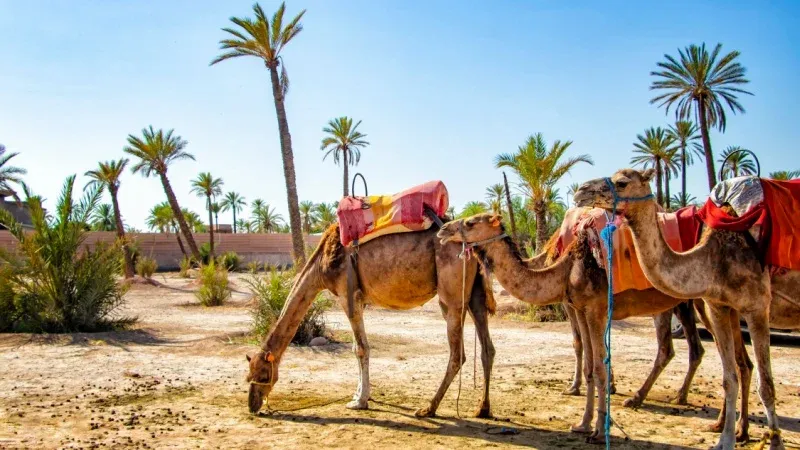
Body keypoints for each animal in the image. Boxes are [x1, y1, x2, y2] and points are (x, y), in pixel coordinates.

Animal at [244, 224, 496, 418]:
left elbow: (360, 348)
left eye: (263, 375)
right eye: (248, 376)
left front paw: (359, 401)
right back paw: (482, 409)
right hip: (474, 292)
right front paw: (360, 394)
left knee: (458, 354)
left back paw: (428, 409)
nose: (252, 405)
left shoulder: (347, 296)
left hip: (451, 296)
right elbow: (358, 348)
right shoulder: (360, 300)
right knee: (487, 348)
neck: (322, 264)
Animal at [438, 214, 708, 442]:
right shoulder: (579, 308)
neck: (565, 269)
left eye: (471, 222)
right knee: (694, 348)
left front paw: (599, 432)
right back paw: (677, 398)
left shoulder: (596, 309)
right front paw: (582, 424)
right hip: (686, 303)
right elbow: (589, 366)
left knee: (683, 350)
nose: (443, 230)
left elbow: (599, 367)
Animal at [576, 168, 800, 450]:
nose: (581, 191)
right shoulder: (719, 306)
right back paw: (733, 428)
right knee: (740, 365)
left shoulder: (757, 307)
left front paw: (775, 443)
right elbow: (729, 378)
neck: (714, 255)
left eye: (622, 182)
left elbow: (767, 384)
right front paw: (725, 441)